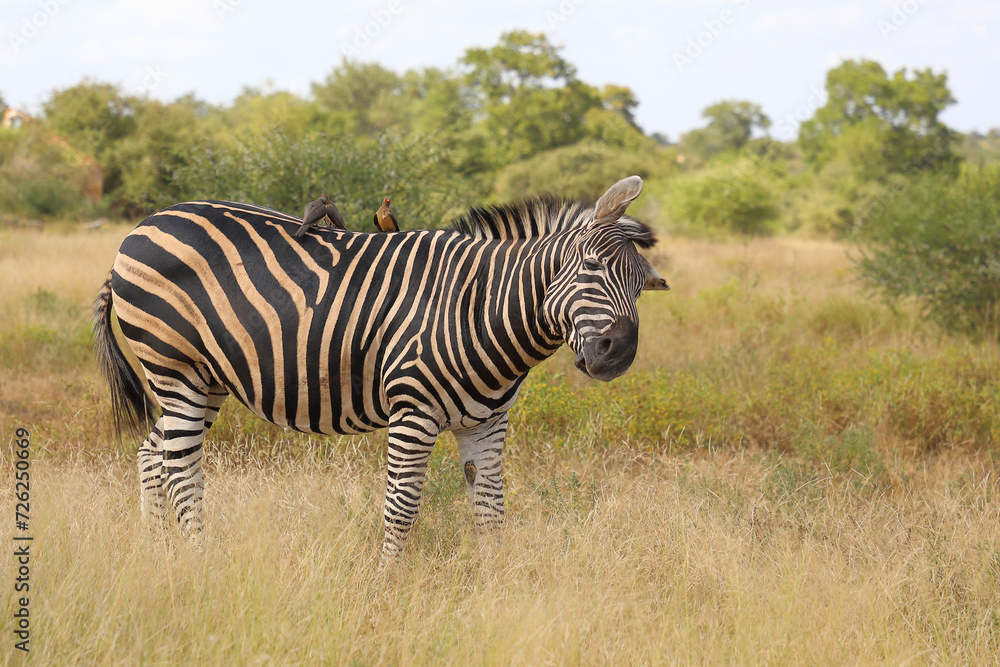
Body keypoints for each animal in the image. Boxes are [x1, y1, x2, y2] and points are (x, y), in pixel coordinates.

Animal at [93, 175, 669, 558]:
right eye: (590, 266)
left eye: (644, 285)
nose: (618, 353)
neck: (480, 305)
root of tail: (145, 225)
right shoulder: (414, 411)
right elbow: (403, 505)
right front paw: (386, 584)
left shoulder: (486, 421)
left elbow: (490, 507)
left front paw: (494, 585)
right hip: (175, 367)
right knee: (181, 469)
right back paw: (199, 558)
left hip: (204, 378)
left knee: (152, 455)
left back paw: (158, 552)